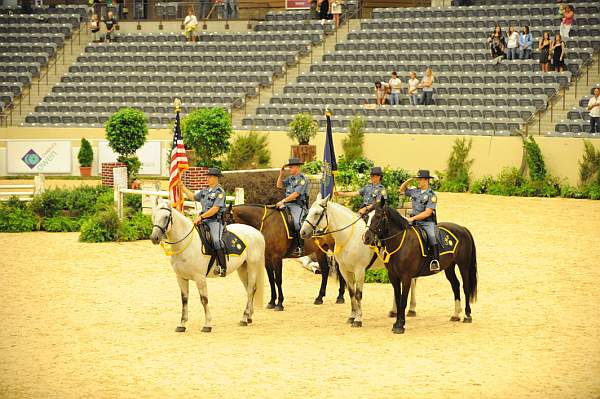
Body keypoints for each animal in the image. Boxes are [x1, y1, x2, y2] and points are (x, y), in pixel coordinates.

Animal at [150, 200, 264, 334]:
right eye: (154, 216)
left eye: (166, 217)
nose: (154, 238)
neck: (186, 243)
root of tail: (257, 233)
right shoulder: (181, 278)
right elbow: (184, 300)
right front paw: (182, 324)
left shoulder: (200, 278)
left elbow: (204, 300)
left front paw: (207, 325)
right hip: (242, 269)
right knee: (249, 290)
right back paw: (249, 316)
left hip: (252, 266)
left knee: (251, 289)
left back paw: (244, 318)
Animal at [300, 195, 418, 330]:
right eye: (309, 211)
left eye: (317, 213)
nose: (303, 232)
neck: (349, 238)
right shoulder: (345, 270)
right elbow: (351, 293)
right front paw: (352, 316)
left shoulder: (359, 271)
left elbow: (358, 294)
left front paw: (358, 319)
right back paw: (394, 311)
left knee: (412, 283)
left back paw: (412, 309)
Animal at [360, 200, 478, 334]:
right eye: (367, 217)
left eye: (378, 216)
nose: (366, 238)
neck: (401, 242)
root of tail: (462, 228)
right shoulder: (393, 276)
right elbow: (398, 299)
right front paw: (396, 322)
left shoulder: (406, 277)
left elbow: (403, 300)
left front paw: (400, 325)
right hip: (449, 267)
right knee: (455, 286)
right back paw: (456, 315)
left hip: (463, 265)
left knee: (465, 287)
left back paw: (467, 316)